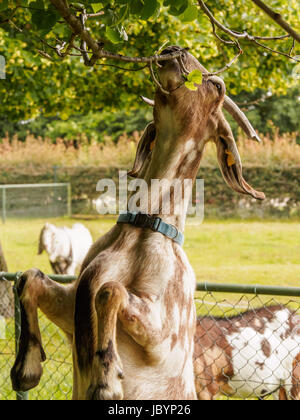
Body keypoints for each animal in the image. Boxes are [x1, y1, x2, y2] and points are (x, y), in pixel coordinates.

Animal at [10, 46, 264, 400]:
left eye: (217, 87)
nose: (175, 51)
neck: (140, 229)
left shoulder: (163, 335)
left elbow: (110, 290)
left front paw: (106, 381)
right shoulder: (71, 307)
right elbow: (30, 278)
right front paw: (27, 369)